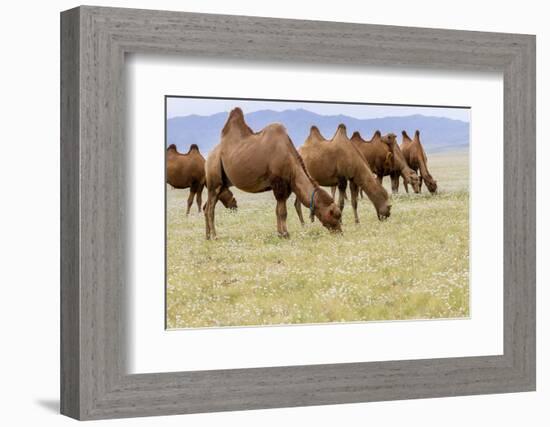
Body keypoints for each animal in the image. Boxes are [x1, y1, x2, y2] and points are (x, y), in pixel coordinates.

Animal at [205, 108, 342, 239]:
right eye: (334, 215)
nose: (340, 232)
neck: (291, 163)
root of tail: (209, 156)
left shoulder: (285, 186)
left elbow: (277, 211)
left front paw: (279, 234)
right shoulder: (279, 184)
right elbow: (283, 212)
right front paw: (286, 234)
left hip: (223, 184)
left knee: (207, 207)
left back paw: (207, 236)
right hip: (214, 178)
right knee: (210, 209)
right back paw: (215, 236)